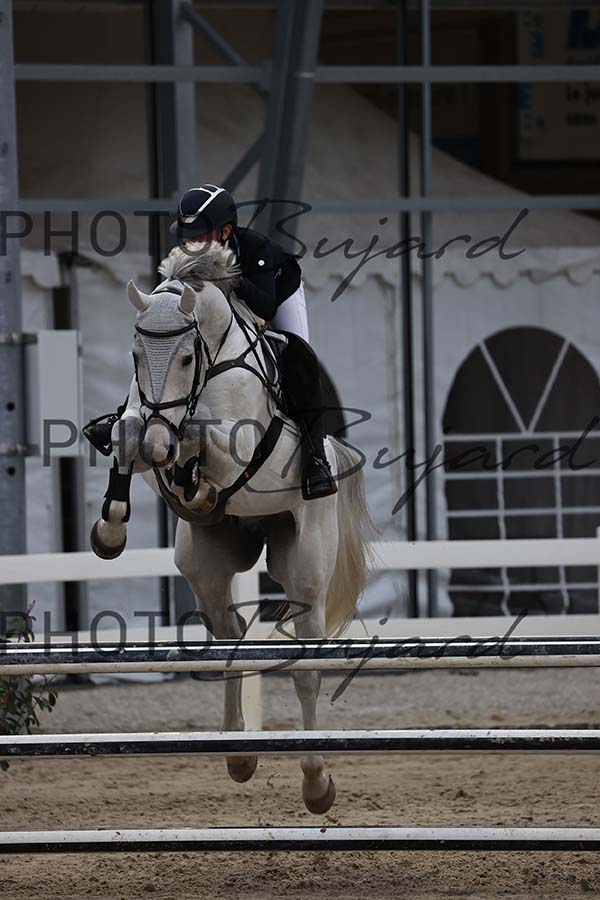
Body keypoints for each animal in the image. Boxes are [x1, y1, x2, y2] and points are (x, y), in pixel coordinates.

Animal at [89, 241, 374, 814]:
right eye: (134, 356)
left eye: (185, 357)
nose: (160, 445)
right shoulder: (140, 420)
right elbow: (127, 433)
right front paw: (111, 532)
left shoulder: (240, 440)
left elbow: (204, 434)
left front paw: (190, 470)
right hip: (205, 565)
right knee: (232, 640)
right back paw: (239, 756)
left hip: (304, 566)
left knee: (306, 669)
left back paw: (316, 782)